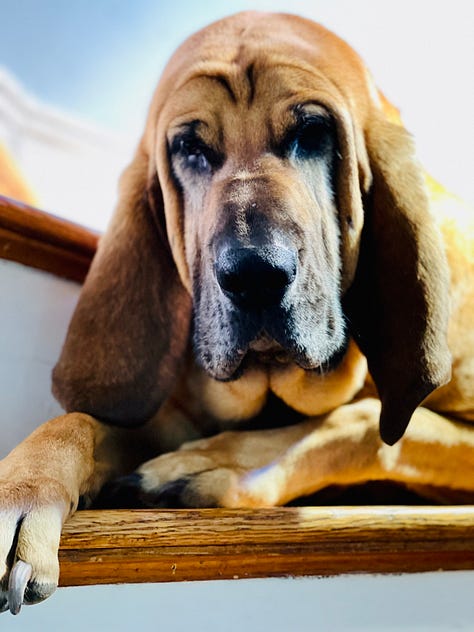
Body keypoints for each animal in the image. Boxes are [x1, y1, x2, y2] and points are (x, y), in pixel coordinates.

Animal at [0, 8, 474, 612]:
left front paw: (204, 466)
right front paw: (22, 488)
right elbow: (78, 421)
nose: (254, 277)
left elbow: (369, 422)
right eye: (189, 148)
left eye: (313, 133)